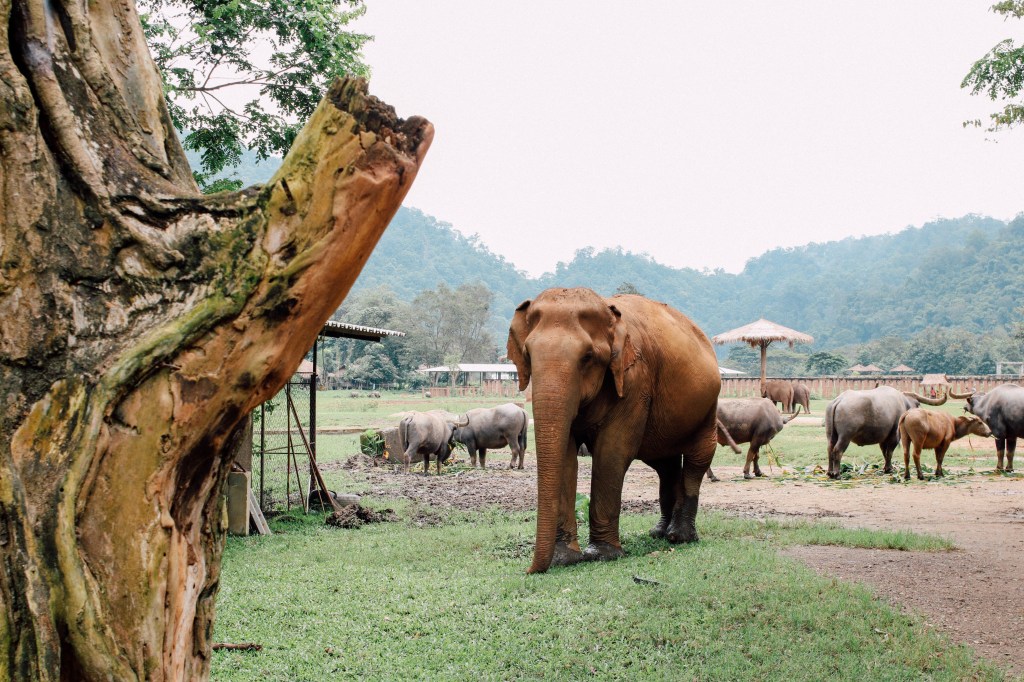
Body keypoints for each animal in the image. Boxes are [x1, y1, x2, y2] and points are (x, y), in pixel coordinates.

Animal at [507, 287, 721, 574]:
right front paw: (564, 558)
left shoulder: (635, 381)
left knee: (698, 459)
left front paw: (602, 555)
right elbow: (566, 456)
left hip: (708, 406)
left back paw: (680, 537)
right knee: (665, 465)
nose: (529, 571)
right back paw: (659, 533)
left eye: (587, 357)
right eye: (528, 355)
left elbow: (612, 451)